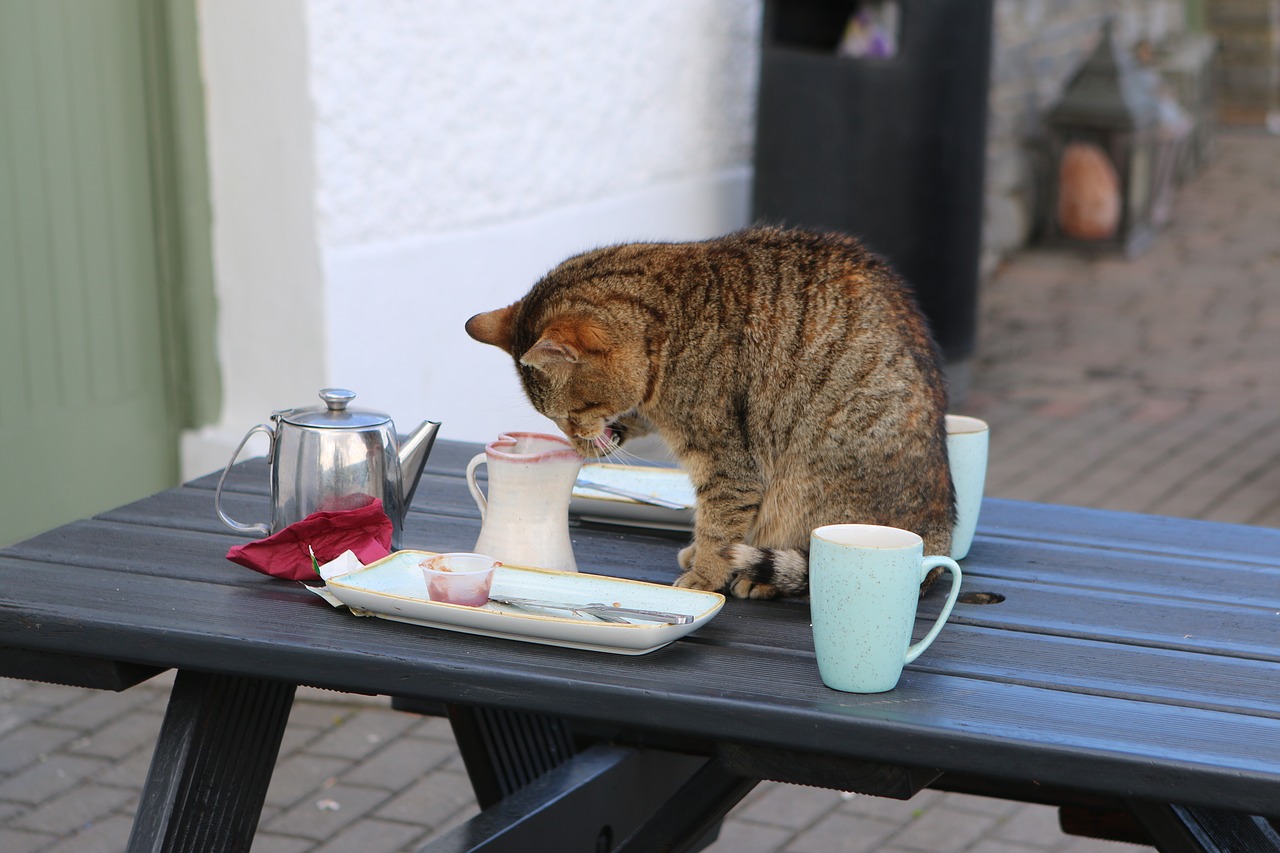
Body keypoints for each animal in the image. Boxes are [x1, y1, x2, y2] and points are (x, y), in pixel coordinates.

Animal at [465, 225, 957, 596]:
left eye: (573, 412)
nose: (576, 441)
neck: (671, 324)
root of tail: (937, 535)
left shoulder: (728, 464)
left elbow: (719, 528)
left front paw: (704, 576)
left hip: (807, 485)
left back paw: (758, 578)